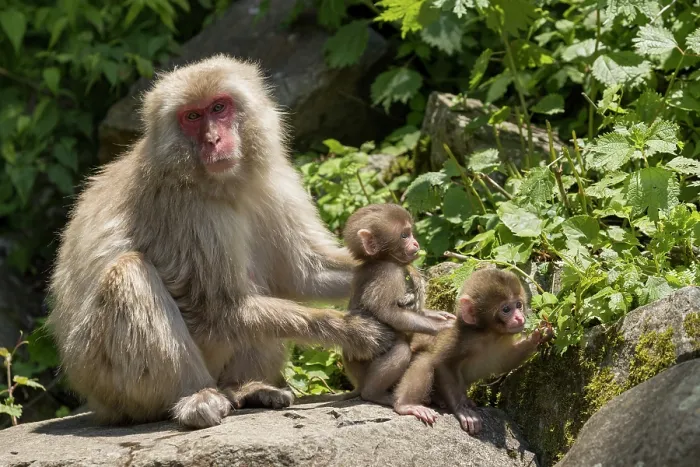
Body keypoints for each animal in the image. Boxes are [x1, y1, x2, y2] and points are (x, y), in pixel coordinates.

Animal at [47, 55, 394, 430]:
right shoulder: (186, 209)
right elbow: (214, 307)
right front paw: (352, 330)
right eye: (192, 117)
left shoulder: (277, 182)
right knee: (130, 273)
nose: (213, 139)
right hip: (107, 382)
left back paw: (245, 388)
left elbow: (304, 273)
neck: (225, 183)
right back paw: (195, 398)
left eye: (218, 107)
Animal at [339, 204, 456, 408]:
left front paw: (438, 316)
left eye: (410, 233)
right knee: (401, 350)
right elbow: (387, 312)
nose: (415, 243)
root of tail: (357, 384)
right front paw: (441, 326)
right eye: (404, 235)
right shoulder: (389, 273)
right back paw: (375, 394)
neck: (380, 259)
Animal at [393, 267, 553, 434]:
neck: (488, 335)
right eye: (506, 309)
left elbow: (506, 361)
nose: (519, 318)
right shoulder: (460, 338)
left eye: (519, 305)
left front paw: (538, 335)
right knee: (425, 360)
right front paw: (461, 409)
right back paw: (406, 405)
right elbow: (442, 363)